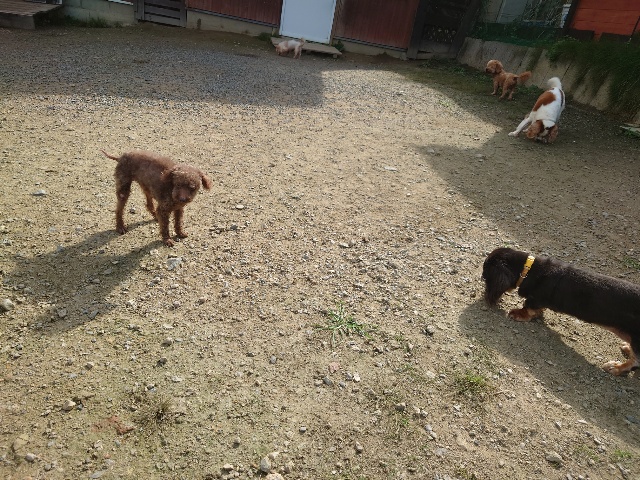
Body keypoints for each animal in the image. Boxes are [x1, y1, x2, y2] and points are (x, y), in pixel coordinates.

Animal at [482, 247, 640, 376]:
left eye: (485, 275)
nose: (481, 277)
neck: (529, 270)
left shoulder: (536, 299)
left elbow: (528, 308)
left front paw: (518, 314)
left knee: (635, 362)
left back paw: (616, 367)